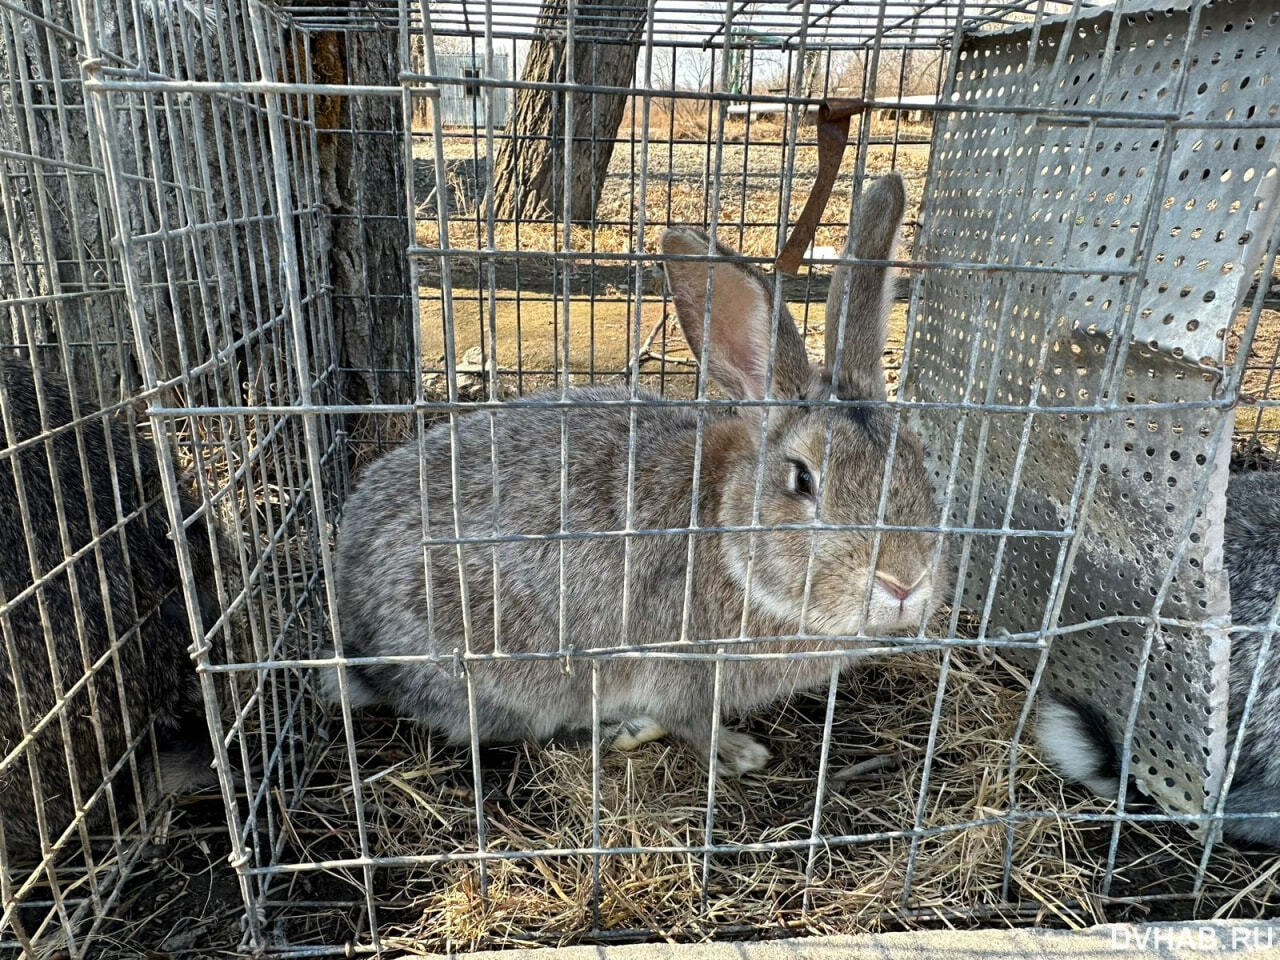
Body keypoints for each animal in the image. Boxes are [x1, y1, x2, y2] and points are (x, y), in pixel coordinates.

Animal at [327, 175, 952, 773]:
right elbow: (693, 726)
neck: (729, 538)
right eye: (803, 480)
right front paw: (739, 755)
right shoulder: (683, 672)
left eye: (917, 456)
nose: (904, 582)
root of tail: (356, 631)